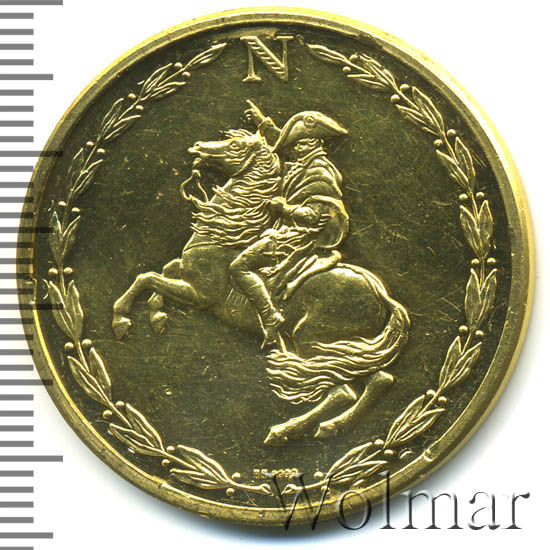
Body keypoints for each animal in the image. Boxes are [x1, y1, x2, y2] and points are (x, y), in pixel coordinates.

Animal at [112, 128, 410, 445]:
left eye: (234, 145)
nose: (198, 147)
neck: (226, 233)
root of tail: (381, 292)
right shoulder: (186, 276)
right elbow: (164, 270)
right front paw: (157, 315)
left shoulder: (199, 294)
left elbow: (146, 278)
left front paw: (121, 320)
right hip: (352, 349)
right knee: (379, 379)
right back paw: (330, 426)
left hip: (314, 340)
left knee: (341, 390)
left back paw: (285, 430)